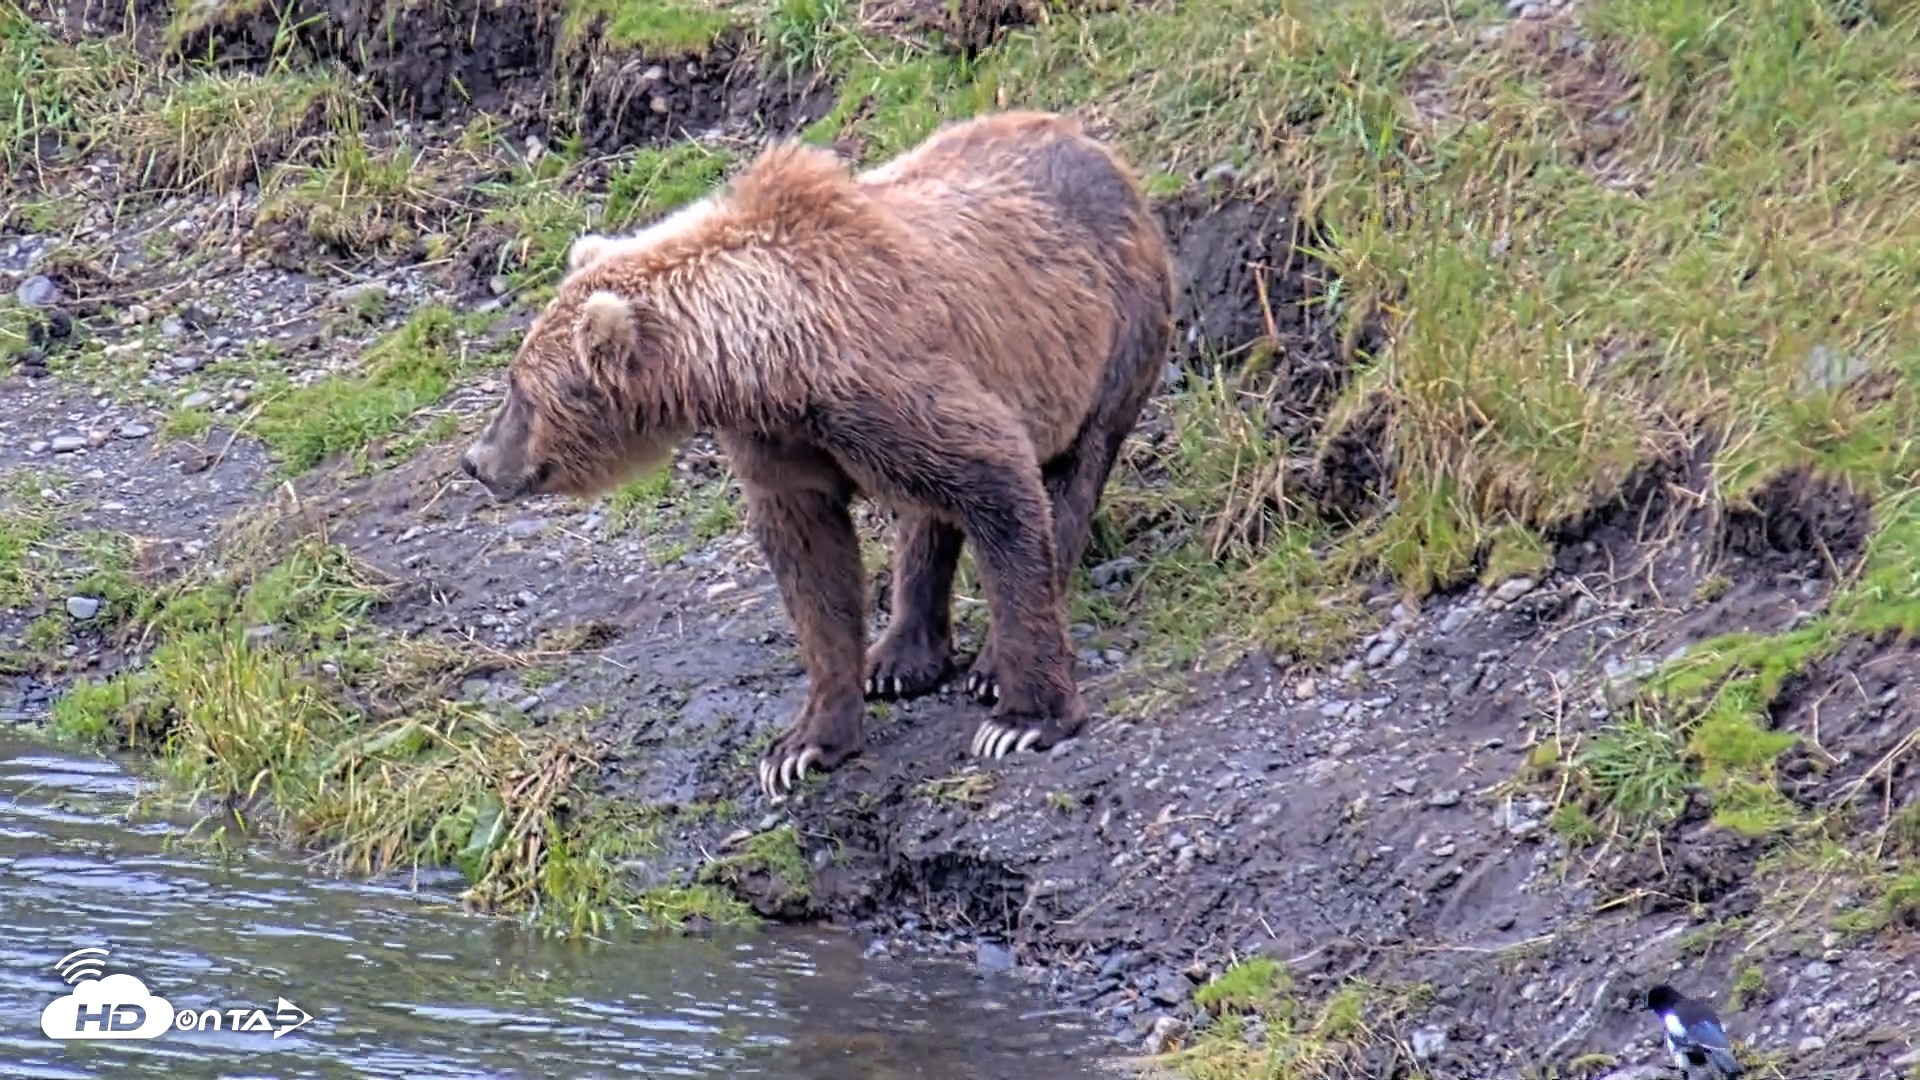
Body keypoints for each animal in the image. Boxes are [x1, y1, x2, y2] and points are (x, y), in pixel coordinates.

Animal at [460, 110, 1175, 800]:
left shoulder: (882, 387)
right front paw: (803, 746)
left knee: (1070, 479)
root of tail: (1096, 146)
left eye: (519, 391)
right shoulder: (780, 446)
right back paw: (898, 658)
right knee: (926, 514)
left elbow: (997, 479)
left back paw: (988, 664)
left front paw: (1025, 720)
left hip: (1110, 336)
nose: (476, 460)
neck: (768, 362)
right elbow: (814, 573)